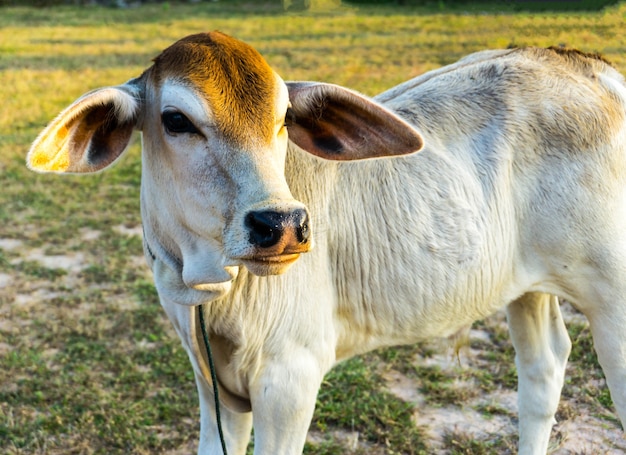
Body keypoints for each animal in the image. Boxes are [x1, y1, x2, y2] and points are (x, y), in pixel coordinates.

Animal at [26, 30, 620, 454]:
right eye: (175, 120)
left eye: (284, 118)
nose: (282, 224)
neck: (209, 293)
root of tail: (589, 65)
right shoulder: (212, 387)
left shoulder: (289, 381)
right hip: (526, 288)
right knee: (544, 368)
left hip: (611, 298)